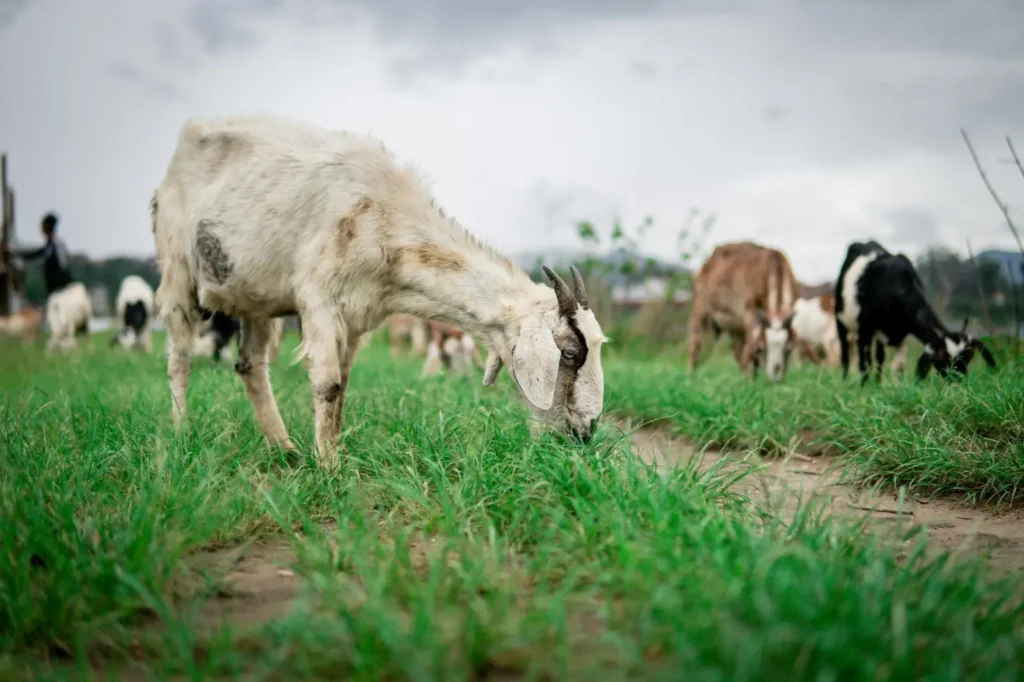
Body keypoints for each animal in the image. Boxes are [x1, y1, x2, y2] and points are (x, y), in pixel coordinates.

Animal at [151, 114, 607, 468]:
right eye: (569, 353)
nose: (586, 431)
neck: (385, 219)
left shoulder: (356, 316)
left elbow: (343, 385)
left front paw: (332, 452)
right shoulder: (319, 299)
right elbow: (328, 384)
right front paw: (329, 468)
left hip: (255, 298)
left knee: (250, 366)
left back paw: (284, 449)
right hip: (177, 268)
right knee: (179, 359)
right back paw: (181, 433)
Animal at [689, 241, 800, 381]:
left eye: (789, 348)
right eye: (762, 347)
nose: (775, 374)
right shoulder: (750, 313)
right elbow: (750, 350)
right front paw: (750, 380)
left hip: (736, 326)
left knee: (737, 349)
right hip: (700, 308)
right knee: (696, 343)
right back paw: (691, 375)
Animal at [834, 239, 996, 383]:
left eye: (968, 357)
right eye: (942, 360)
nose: (960, 381)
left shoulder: (901, 333)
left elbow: (898, 367)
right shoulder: (865, 328)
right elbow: (864, 364)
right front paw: (864, 387)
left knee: (879, 357)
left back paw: (878, 381)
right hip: (842, 321)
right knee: (847, 354)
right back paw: (846, 380)